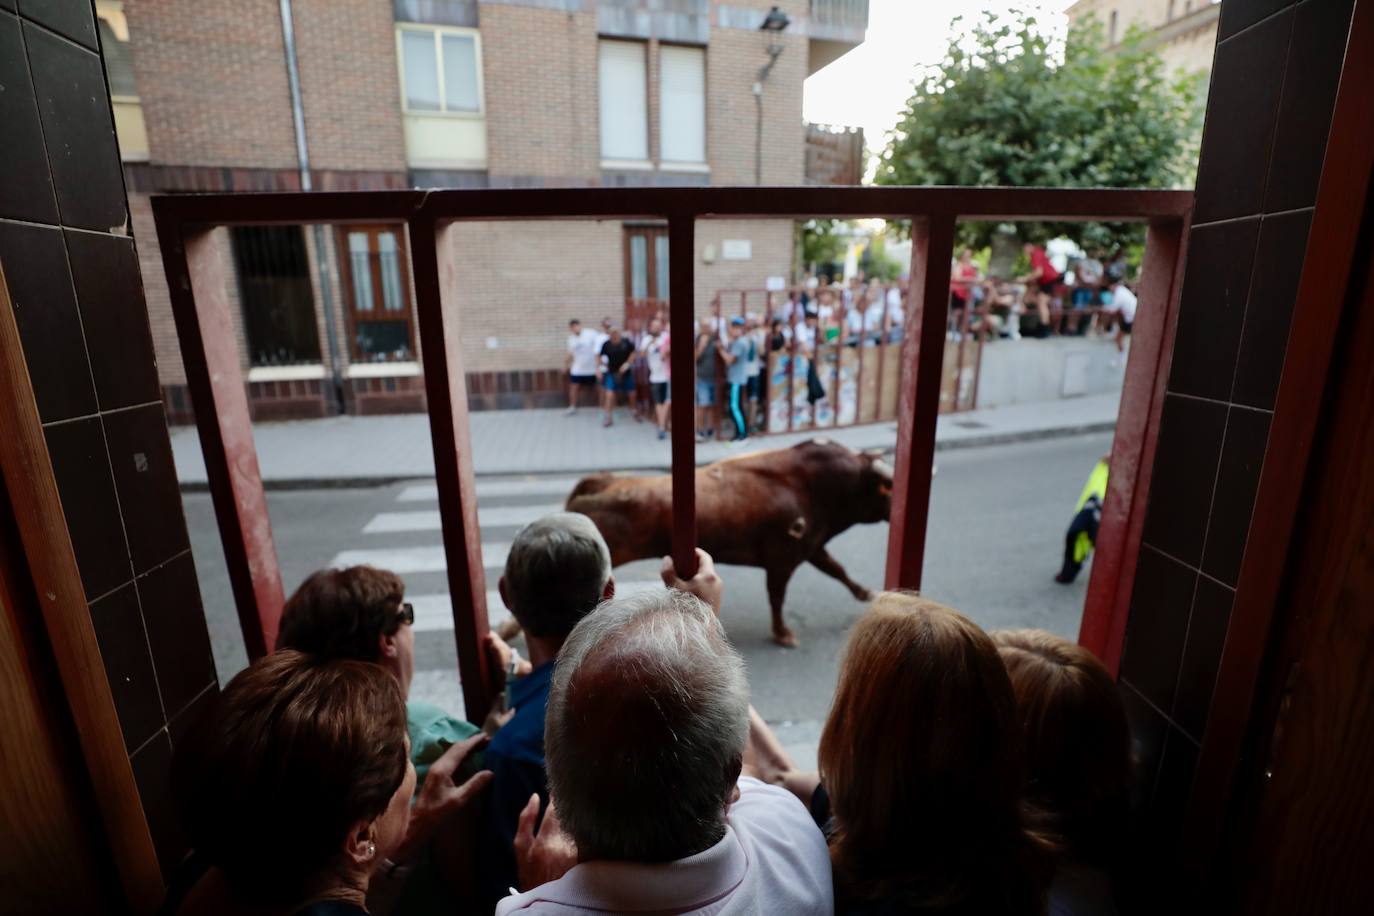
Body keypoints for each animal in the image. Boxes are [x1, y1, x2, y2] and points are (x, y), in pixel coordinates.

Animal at [566, 436, 895, 645]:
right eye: (889, 489)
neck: (814, 486)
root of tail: (603, 480)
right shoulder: (782, 559)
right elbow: (777, 596)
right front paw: (783, 633)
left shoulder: (812, 547)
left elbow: (838, 570)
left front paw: (867, 593)